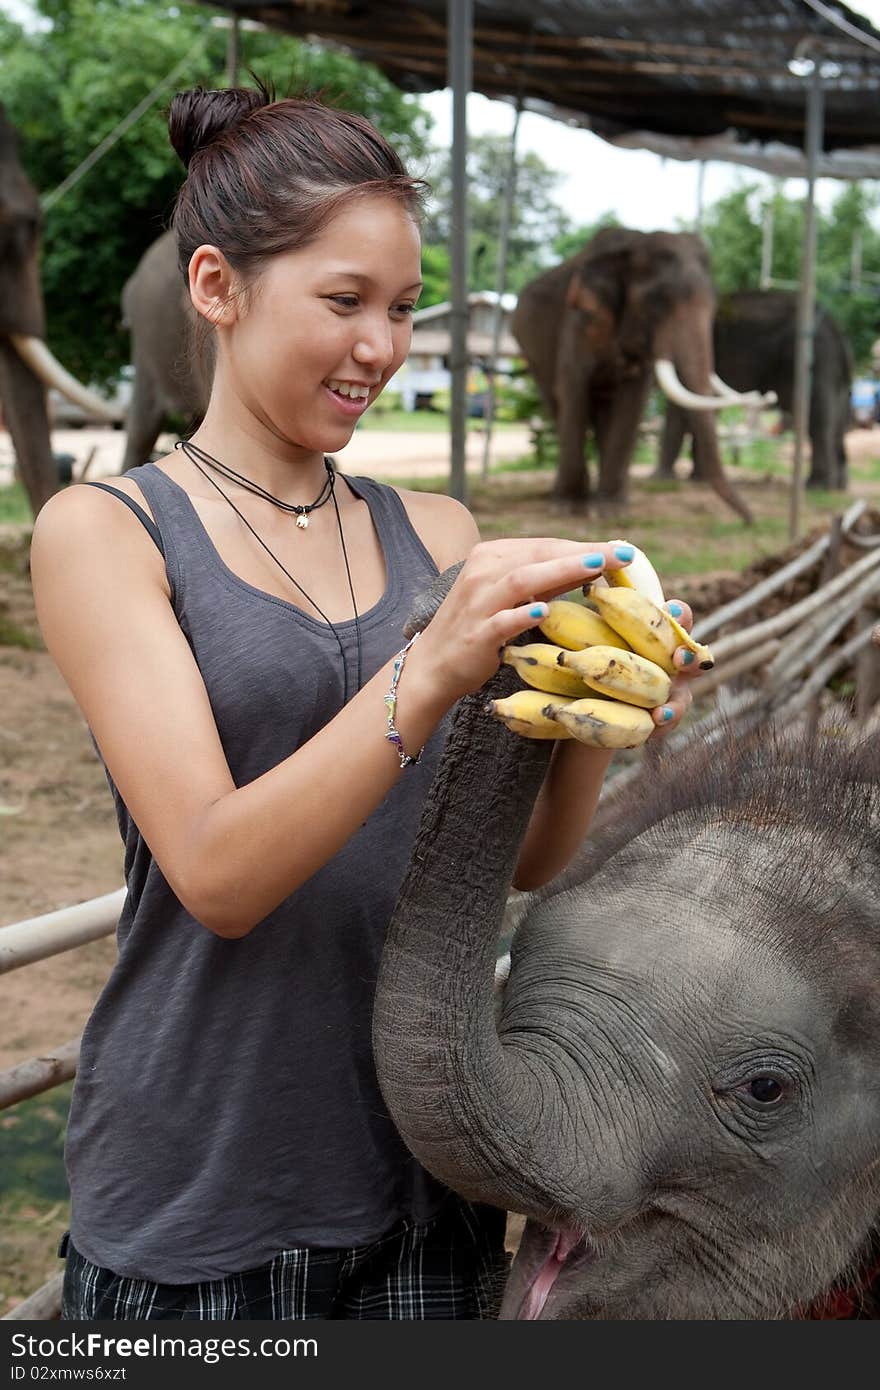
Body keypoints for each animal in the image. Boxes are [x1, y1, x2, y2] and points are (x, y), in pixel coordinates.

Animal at [511, 230, 756, 522]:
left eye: (714, 303)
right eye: (658, 301)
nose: (751, 521)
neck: (634, 244)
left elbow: (632, 400)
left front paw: (611, 511)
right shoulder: (578, 320)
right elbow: (574, 389)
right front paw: (568, 508)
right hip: (531, 351)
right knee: (557, 403)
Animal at [658, 290, 850, 492]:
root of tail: (839, 333)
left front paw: (672, 478)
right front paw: (694, 478)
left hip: (815, 360)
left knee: (817, 418)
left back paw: (817, 487)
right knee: (837, 420)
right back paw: (838, 486)